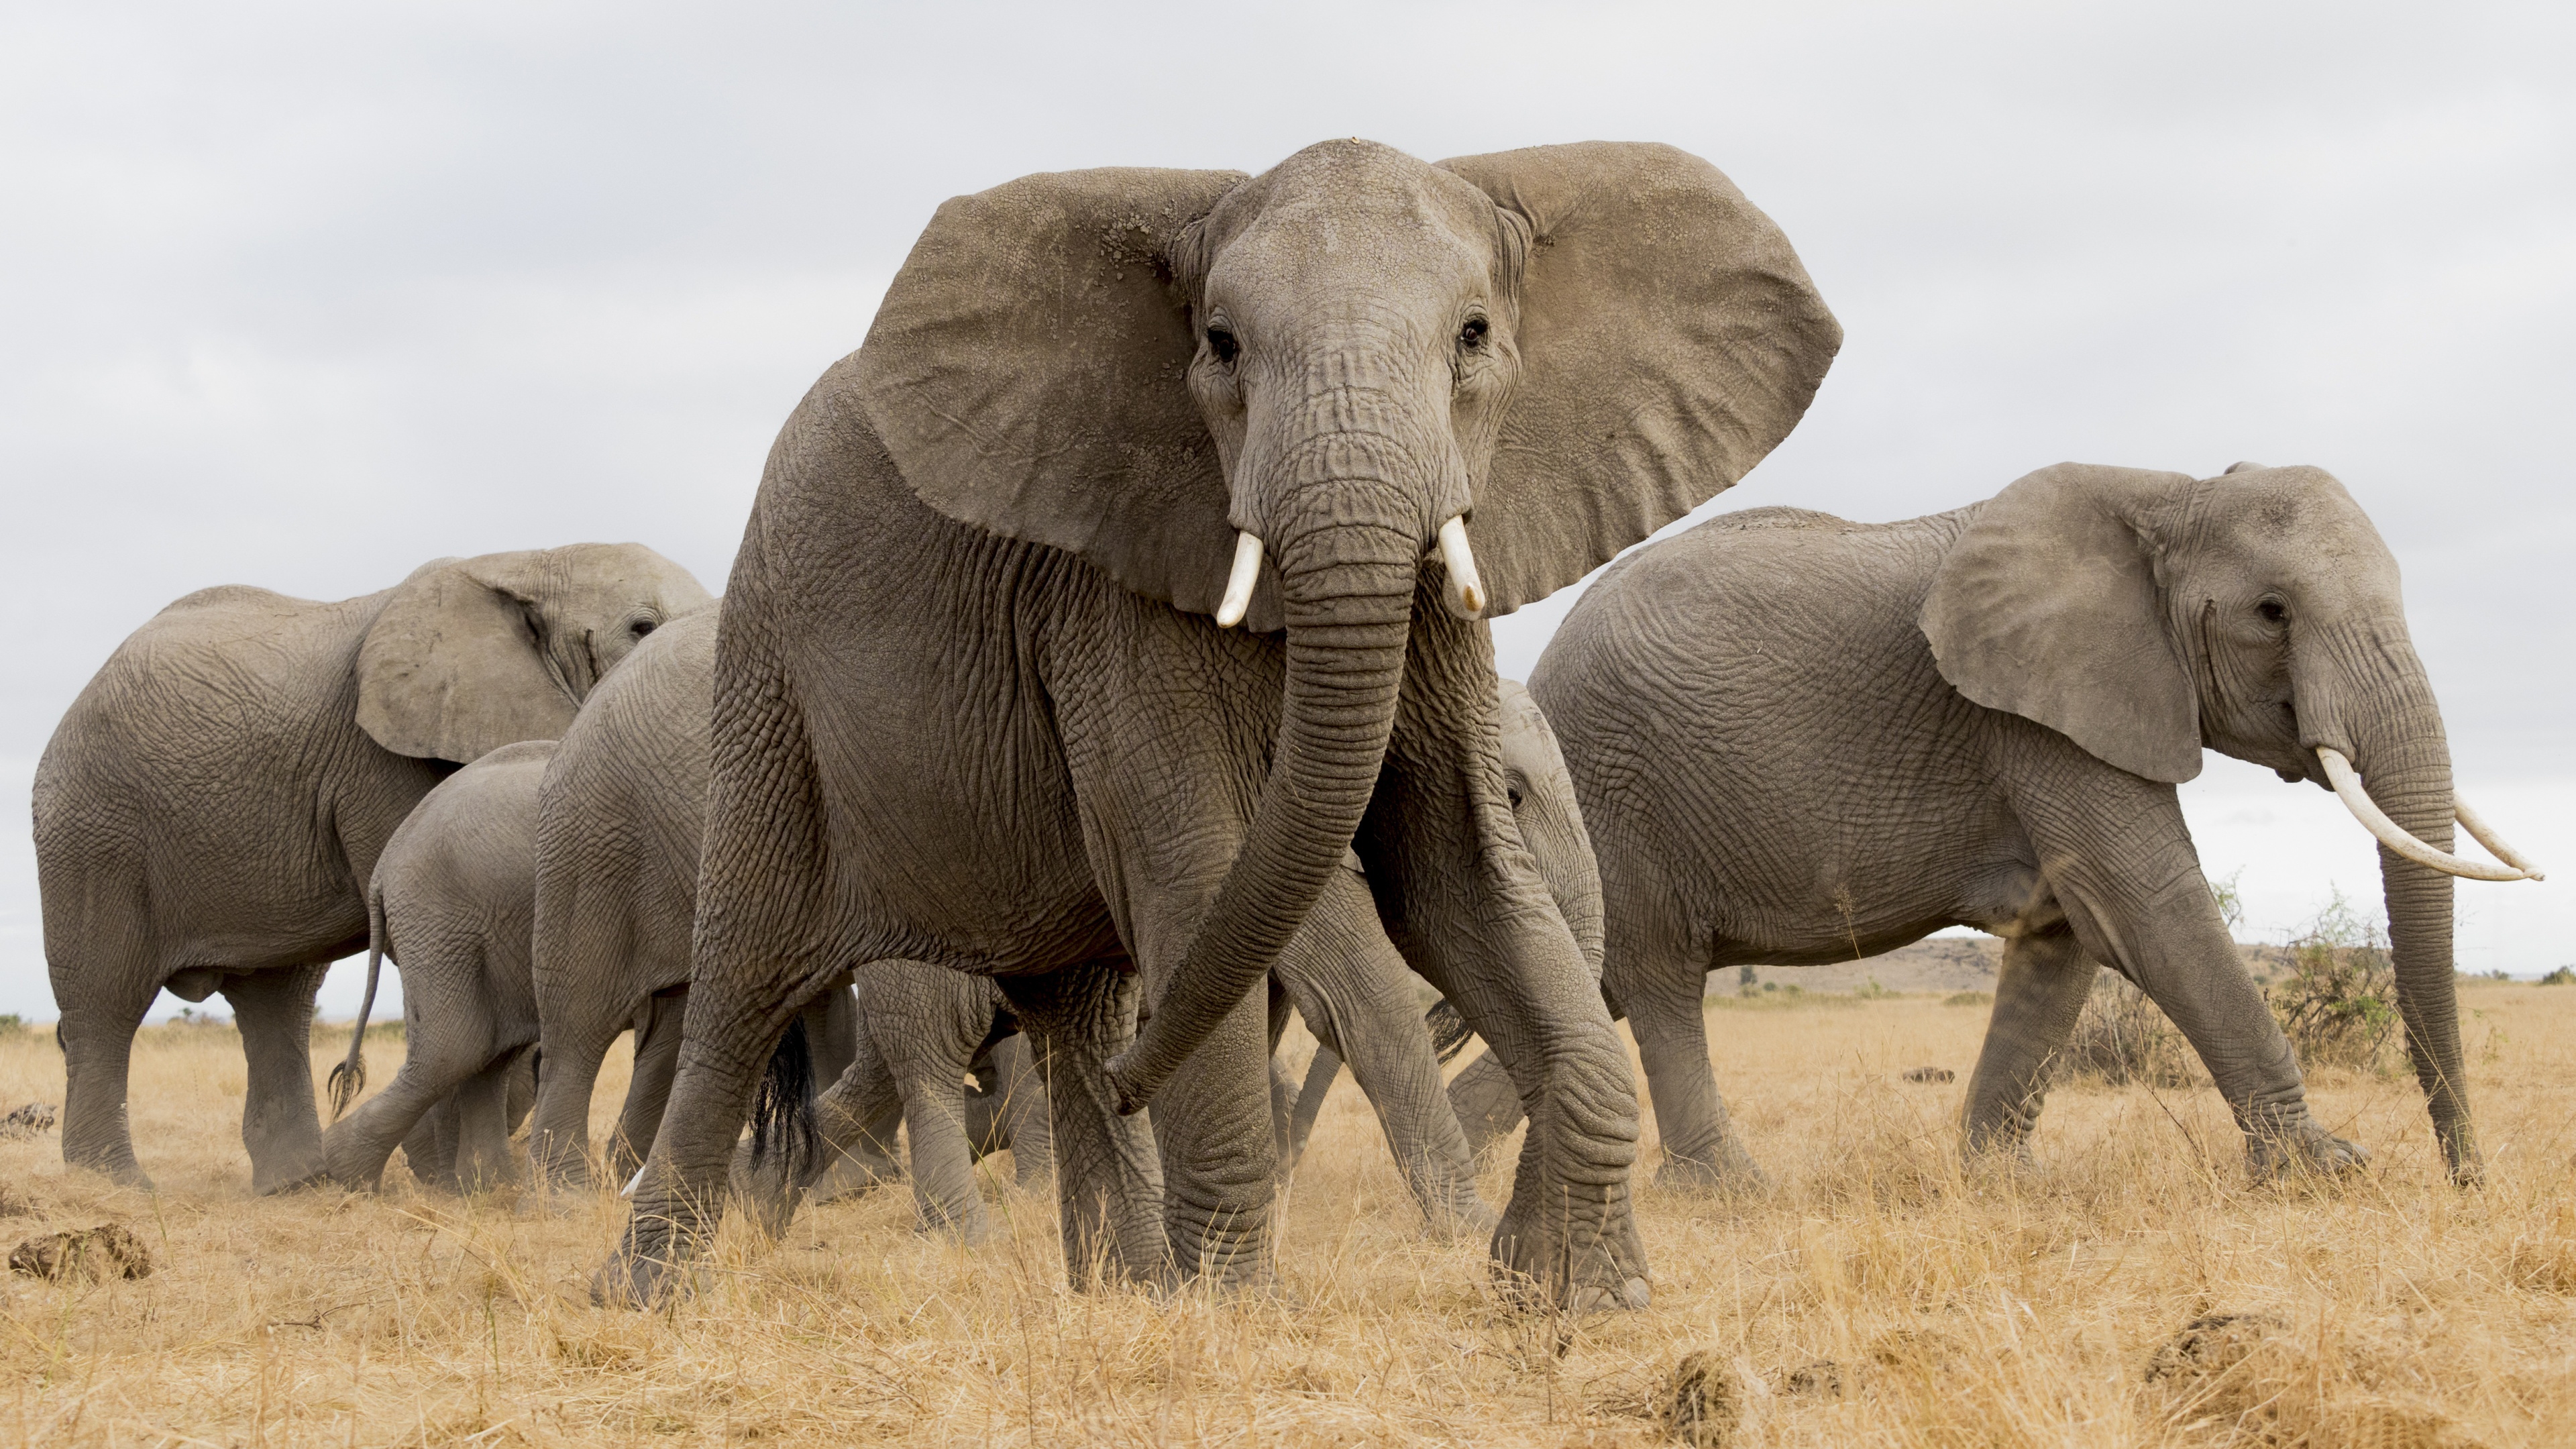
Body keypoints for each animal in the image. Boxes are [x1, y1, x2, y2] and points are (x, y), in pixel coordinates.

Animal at [34, 543, 712, 1193]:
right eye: (641, 627)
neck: (529, 560)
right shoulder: (380, 762)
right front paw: (442, 1175)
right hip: (91, 828)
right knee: (105, 997)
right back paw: (118, 1183)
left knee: (278, 999)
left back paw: (297, 1183)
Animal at [319, 738, 859, 1194]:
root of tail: (385, 867)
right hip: (439, 922)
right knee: (457, 1046)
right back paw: (352, 1176)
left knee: (488, 1053)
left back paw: (488, 1189)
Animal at [597, 137, 1838, 1310]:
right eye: (1224, 346)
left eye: (1476, 336)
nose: (1142, 1084)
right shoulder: (1115, 601)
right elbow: (1203, 876)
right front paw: (1237, 1307)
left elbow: (1459, 874)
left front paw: (1579, 1289)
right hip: (770, 682)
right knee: (744, 987)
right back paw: (646, 1293)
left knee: (1079, 1011)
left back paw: (1120, 1279)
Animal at [1453, 463, 2540, 1190]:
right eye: (2273, 612)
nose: (2468, 1184)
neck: (2169, 492)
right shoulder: (2037, 716)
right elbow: (2147, 903)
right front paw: (2328, 1171)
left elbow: (2065, 935)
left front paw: (1998, 1185)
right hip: (1616, 790)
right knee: (1662, 984)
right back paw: (1730, 1195)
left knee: (1600, 988)